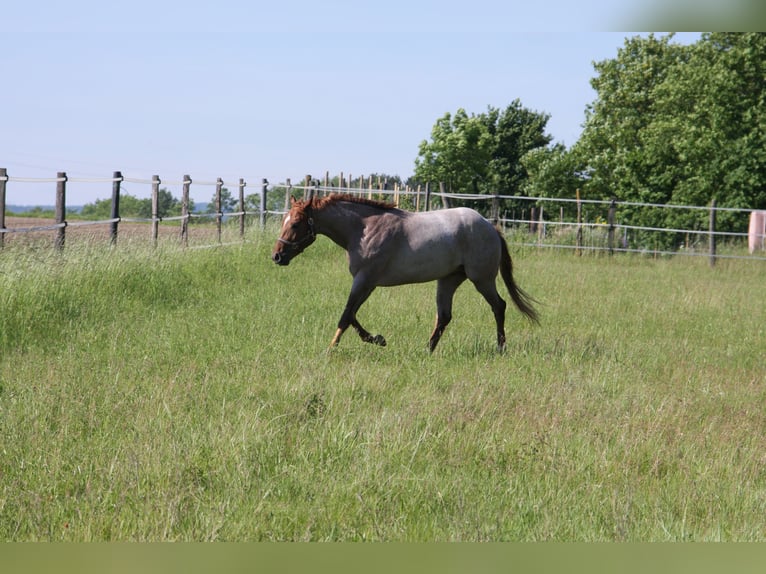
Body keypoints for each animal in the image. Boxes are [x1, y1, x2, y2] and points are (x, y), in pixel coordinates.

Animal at [271, 193, 538, 352]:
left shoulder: (365, 280)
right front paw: (378, 339)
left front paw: (331, 349)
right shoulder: (366, 282)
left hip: (481, 279)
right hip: (449, 280)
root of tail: (490, 227)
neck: (363, 229)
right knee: (444, 316)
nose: (277, 256)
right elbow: (352, 314)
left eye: (295, 223)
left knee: (499, 306)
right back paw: (427, 350)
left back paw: (501, 348)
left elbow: (346, 315)